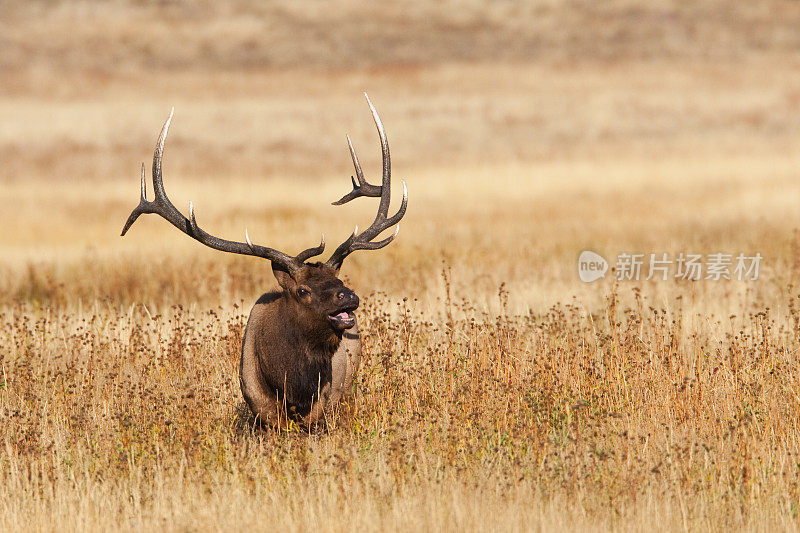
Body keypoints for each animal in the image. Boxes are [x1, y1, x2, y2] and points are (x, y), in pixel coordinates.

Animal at [122, 94, 410, 424]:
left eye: (339, 279)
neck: (293, 388)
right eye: (302, 291)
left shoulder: (322, 412)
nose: (348, 296)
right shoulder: (259, 408)